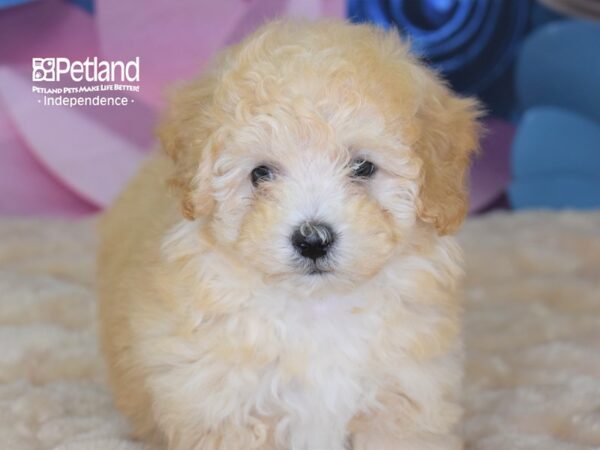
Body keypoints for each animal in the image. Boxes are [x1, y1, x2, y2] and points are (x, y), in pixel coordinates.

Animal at [101, 18, 480, 450]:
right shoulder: (224, 406)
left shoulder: (403, 399)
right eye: (260, 173)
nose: (312, 239)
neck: (316, 308)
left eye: (363, 167)